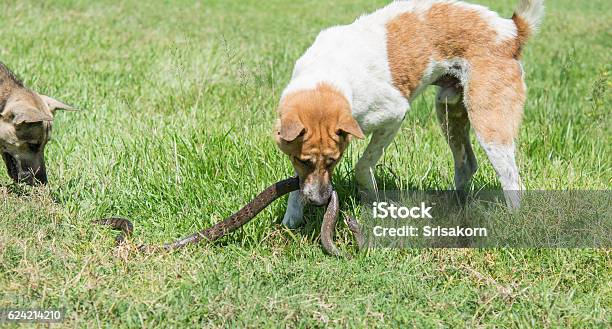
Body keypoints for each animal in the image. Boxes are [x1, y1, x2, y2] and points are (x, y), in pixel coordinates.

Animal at [274, 0, 544, 226]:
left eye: (334, 160)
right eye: (302, 160)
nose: (320, 202)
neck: (328, 76)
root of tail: (511, 31)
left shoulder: (393, 115)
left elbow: (363, 164)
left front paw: (371, 201)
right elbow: (298, 183)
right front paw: (292, 219)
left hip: (488, 120)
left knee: (511, 178)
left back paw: (511, 220)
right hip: (449, 111)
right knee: (467, 164)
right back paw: (454, 209)